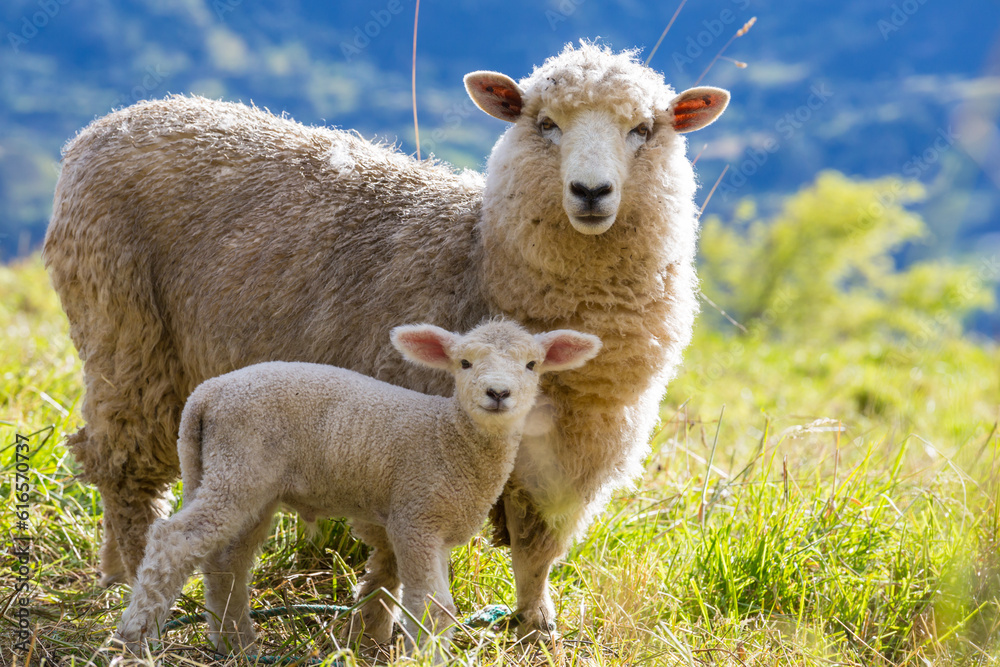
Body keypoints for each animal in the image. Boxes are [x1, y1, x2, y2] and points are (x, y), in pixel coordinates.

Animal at [114, 319, 602, 656]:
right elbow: (433, 605)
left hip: (238, 478)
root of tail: (206, 396)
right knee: (175, 541)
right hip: (239, 466)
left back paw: (238, 644)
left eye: (532, 364)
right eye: (463, 363)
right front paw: (426, 655)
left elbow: (406, 591)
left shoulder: (428, 524)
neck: (448, 437)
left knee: (225, 560)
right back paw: (134, 639)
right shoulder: (416, 516)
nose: (498, 394)